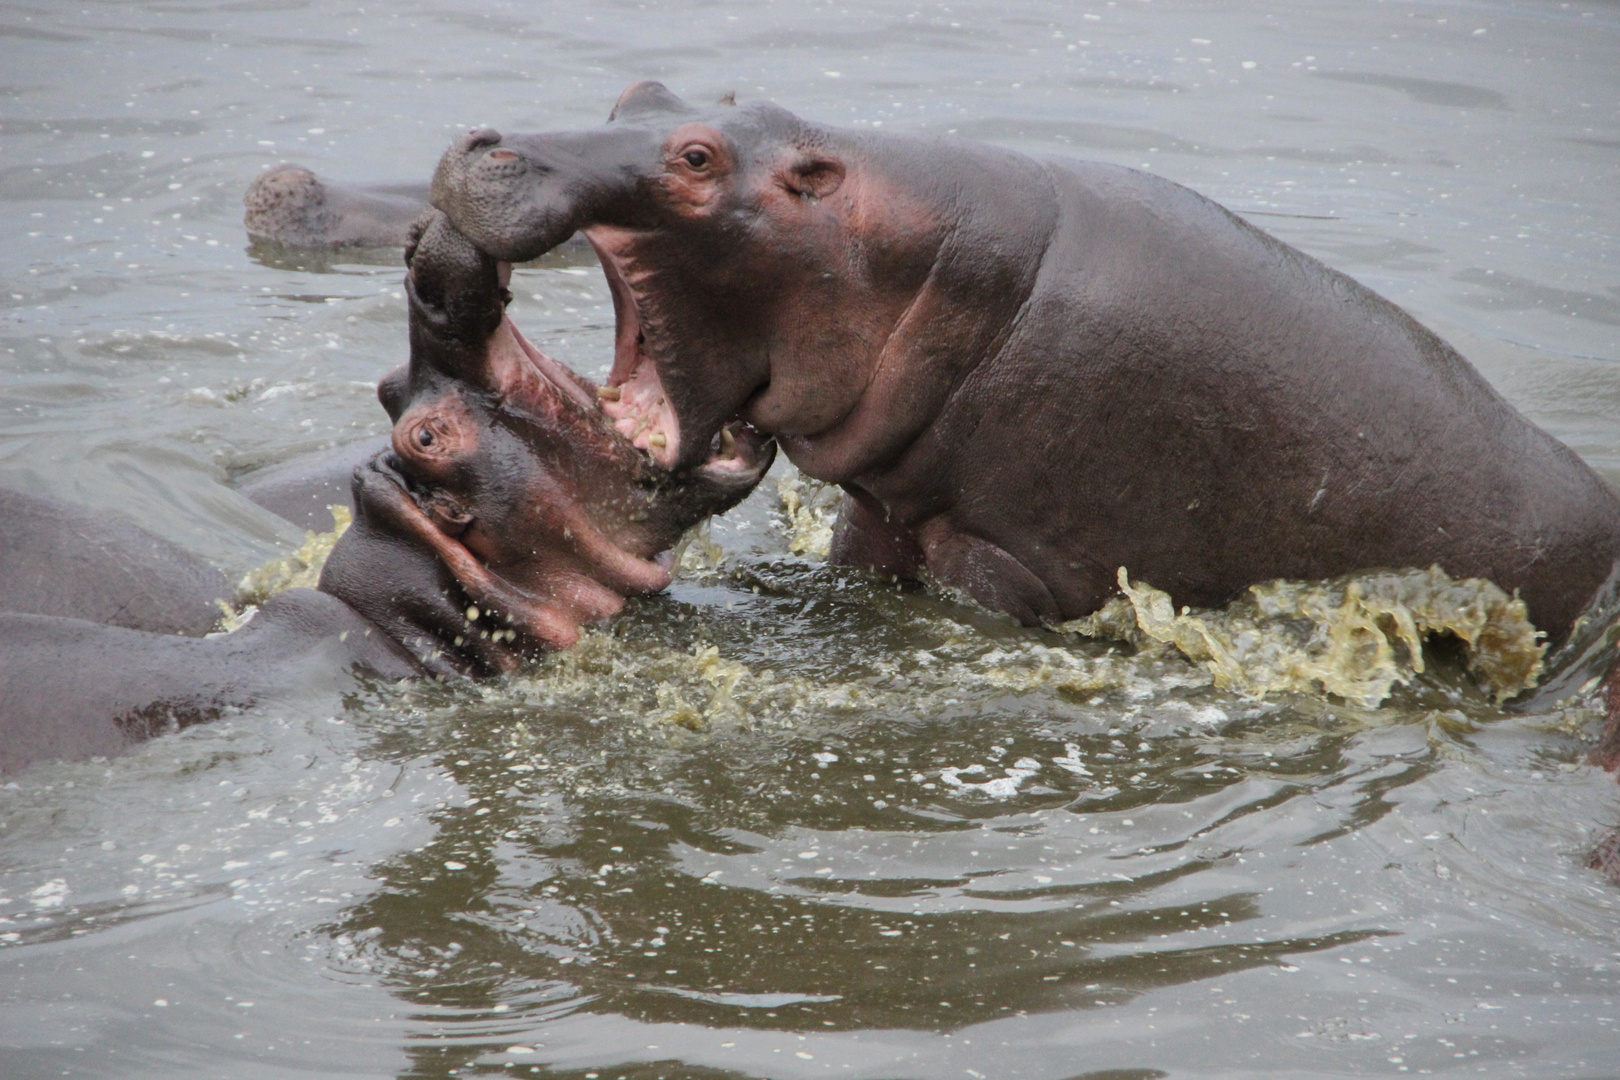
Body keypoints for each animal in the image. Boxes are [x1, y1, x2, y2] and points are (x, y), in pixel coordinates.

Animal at [424, 84, 1620, 647]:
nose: (484, 144)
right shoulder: (885, 519)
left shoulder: (1004, 560)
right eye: (635, 94)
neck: (913, 259)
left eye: (696, 157)